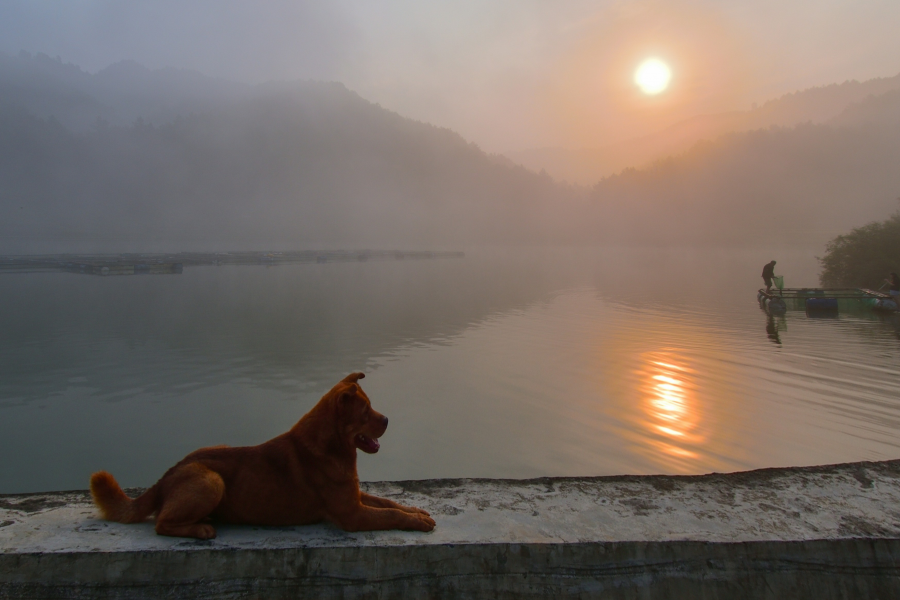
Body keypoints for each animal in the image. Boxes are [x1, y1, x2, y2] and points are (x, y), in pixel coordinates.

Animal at [89, 372, 434, 540]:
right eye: (365, 411)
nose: (387, 420)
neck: (331, 446)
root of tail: (166, 475)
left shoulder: (354, 496)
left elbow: (389, 503)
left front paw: (416, 510)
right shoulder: (352, 514)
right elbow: (388, 515)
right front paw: (416, 521)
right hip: (211, 481)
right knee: (161, 523)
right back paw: (200, 529)